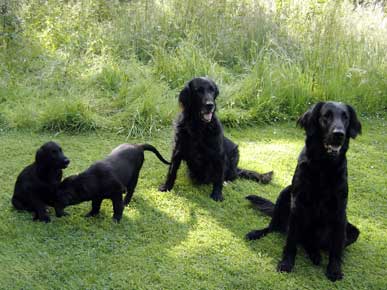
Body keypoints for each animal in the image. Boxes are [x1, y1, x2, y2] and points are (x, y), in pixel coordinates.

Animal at [247, 101, 362, 280]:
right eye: (326, 116)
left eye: (346, 118)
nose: (339, 134)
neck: (323, 165)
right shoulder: (297, 203)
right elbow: (291, 241)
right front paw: (286, 263)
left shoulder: (340, 210)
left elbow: (336, 247)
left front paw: (334, 269)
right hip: (285, 193)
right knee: (275, 227)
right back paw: (257, 233)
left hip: (352, 231)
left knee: (313, 243)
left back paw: (316, 255)